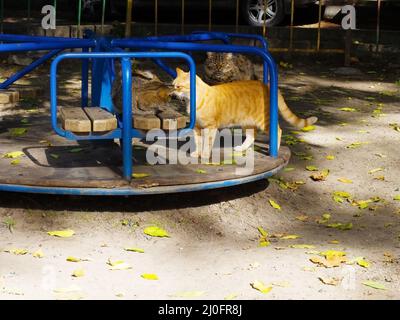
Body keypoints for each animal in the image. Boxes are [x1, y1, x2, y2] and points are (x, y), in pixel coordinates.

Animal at [173, 67, 318, 158]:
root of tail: (266, 85)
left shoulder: (210, 127)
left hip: (264, 120)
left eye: (178, 87)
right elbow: (198, 142)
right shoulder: (196, 127)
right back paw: (241, 148)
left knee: (278, 130)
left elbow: (206, 144)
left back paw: (274, 149)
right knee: (251, 136)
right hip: (247, 123)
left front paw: (204, 155)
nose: (172, 95)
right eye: (173, 85)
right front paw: (197, 153)